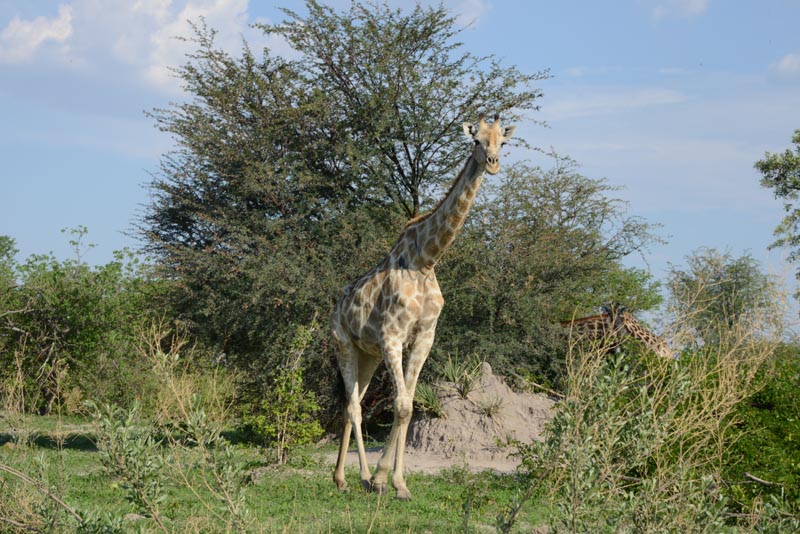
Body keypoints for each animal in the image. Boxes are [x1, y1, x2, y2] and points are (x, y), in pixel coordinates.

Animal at [330, 114, 516, 500]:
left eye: (502, 142)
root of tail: (337, 304)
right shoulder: (392, 336)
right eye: (476, 140)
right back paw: (361, 477)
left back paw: (342, 478)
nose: (493, 164)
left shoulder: (424, 337)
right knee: (354, 406)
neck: (426, 261)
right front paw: (383, 479)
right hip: (344, 344)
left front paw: (400, 483)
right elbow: (401, 405)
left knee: (351, 404)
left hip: (368, 354)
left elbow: (411, 404)